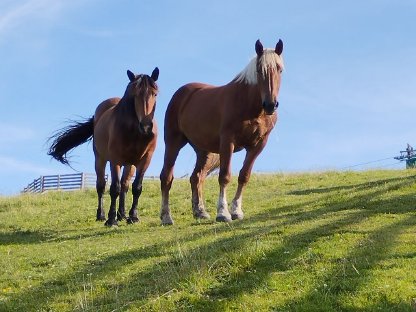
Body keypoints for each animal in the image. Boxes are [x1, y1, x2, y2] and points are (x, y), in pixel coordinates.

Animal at [47, 67, 159, 227]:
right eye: (135, 94)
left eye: (155, 93)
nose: (146, 126)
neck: (134, 132)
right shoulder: (115, 160)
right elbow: (114, 188)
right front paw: (111, 220)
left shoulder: (145, 161)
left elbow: (136, 188)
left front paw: (133, 217)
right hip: (100, 159)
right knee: (101, 185)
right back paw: (101, 215)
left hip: (129, 164)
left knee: (125, 185)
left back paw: (122, 214)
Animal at [159, 39, 282, 224]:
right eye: (259, 70)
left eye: (280, 69)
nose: (270, 105)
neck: (251, 107)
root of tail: (182, 93)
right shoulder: (227, 142)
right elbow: (224, 176)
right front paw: (223, 213)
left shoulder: (258, 145)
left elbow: (244, 176)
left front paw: (236, 210)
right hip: (173, 142)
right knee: (167, 177)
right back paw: (166, 216)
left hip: (204, 151)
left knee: (197, 177)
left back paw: (200, 211)